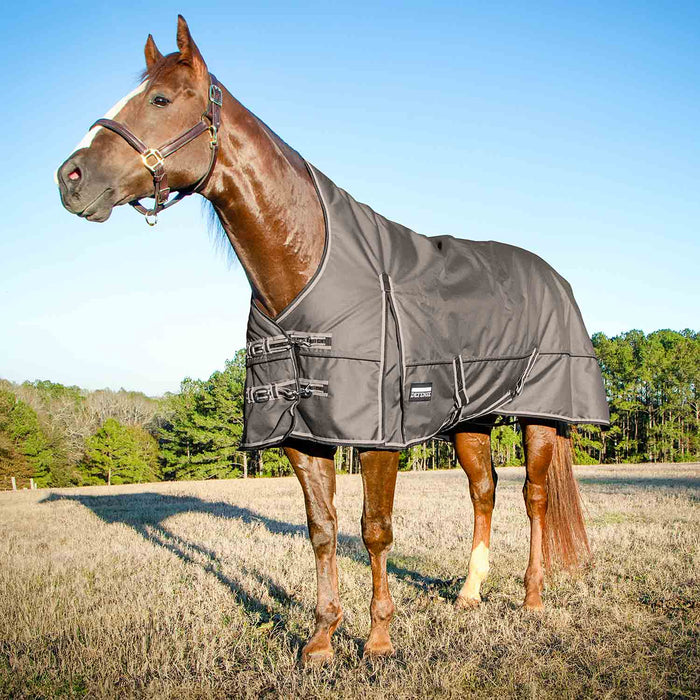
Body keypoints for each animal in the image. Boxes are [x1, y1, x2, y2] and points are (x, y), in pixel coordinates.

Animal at [56, 16, 596, 665]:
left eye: (160, 99)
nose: (70, 178)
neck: (304, 267)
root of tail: (554, 276)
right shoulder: (300, 434)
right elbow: (322, 529)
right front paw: (320, 639)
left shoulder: (379, 435)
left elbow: (375, 529)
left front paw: (379, 640)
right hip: (472, 418)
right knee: (484, 492)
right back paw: (469, 594)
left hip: (540, 415)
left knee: (534, 497)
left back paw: (532, 598)